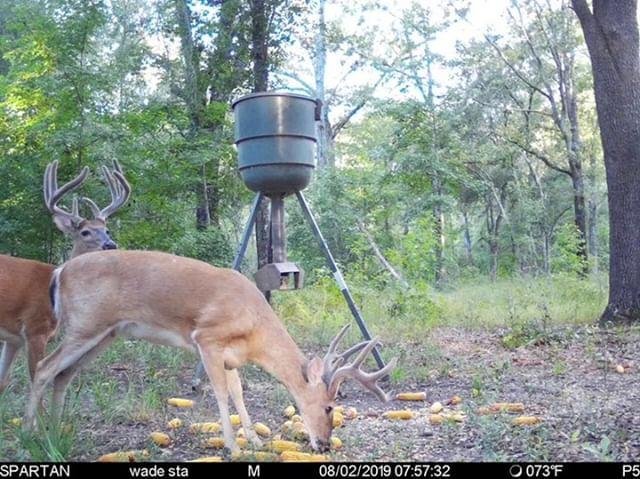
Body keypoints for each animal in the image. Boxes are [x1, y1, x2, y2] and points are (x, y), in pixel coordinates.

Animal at [0, 161, 130, 393]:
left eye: (106, 229)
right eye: (85, 232)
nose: (110, 244)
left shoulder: (13, 338)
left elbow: (2, 380)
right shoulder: (36, 328)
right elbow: (36, 377)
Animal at [24, 249, 396, 453]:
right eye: (330, 406)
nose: (324, 444)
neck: (255, 325)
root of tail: (60, 271)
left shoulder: (231, 357)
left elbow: (239, 394)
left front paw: (255, 442)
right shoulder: (207, 339)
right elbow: (219, 393)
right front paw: (232, 446)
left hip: (105, 334)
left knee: (63, 374)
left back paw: (55, 430)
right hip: (87, 324)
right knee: (44, 367)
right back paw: (30, 431)